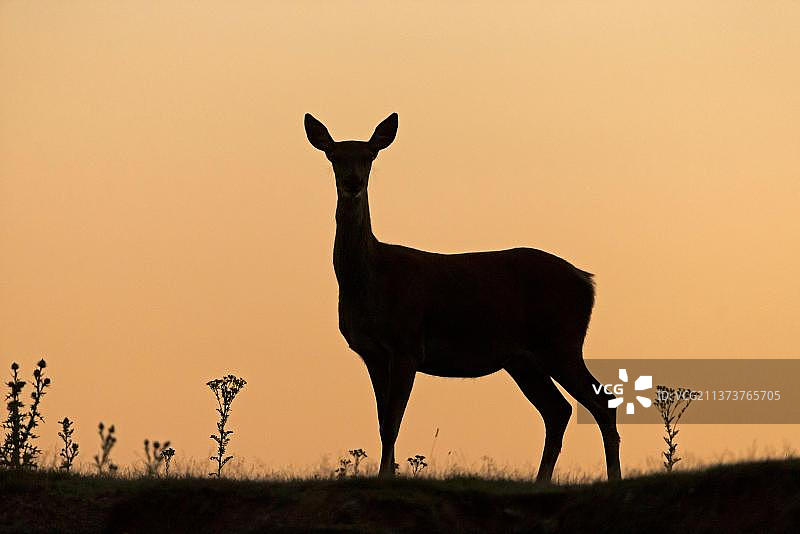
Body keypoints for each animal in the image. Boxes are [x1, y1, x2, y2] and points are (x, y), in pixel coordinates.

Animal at [304, 112, 621, 481]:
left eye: (370, 155)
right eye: (334, 156)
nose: (353, 183)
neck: (371, 279)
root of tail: (587, 281)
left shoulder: (407, 344)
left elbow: (393, 422)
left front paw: (386, 478)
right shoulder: (371, 353)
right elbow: (383, 421)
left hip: (561, 342)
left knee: (601, 402)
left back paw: (612, 477)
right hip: (522, 358)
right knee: (558, 410)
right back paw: (542, 480)